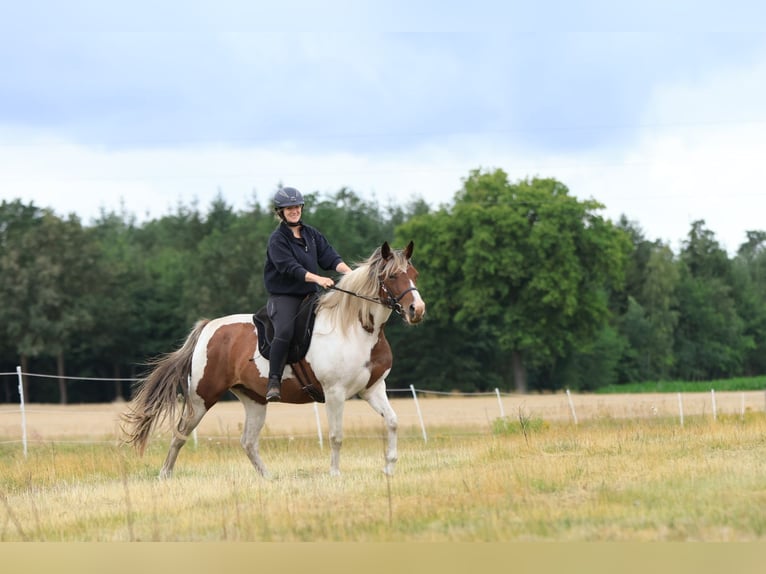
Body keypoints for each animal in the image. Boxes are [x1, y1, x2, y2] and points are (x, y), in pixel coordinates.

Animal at [120, 241, 425, 478]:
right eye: (392, 276)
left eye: (414, 273)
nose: (417, 310)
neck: (356, 327)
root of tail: (208, 328)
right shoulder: (335, 393)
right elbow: (336, 435)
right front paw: (335, 474)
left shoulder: (373, 389)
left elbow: (392, 421)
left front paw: (389, 468)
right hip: (201, 398)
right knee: (180, 433)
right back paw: (165, 475)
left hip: (254, 399)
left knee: (247, 442)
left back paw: (268, 478)